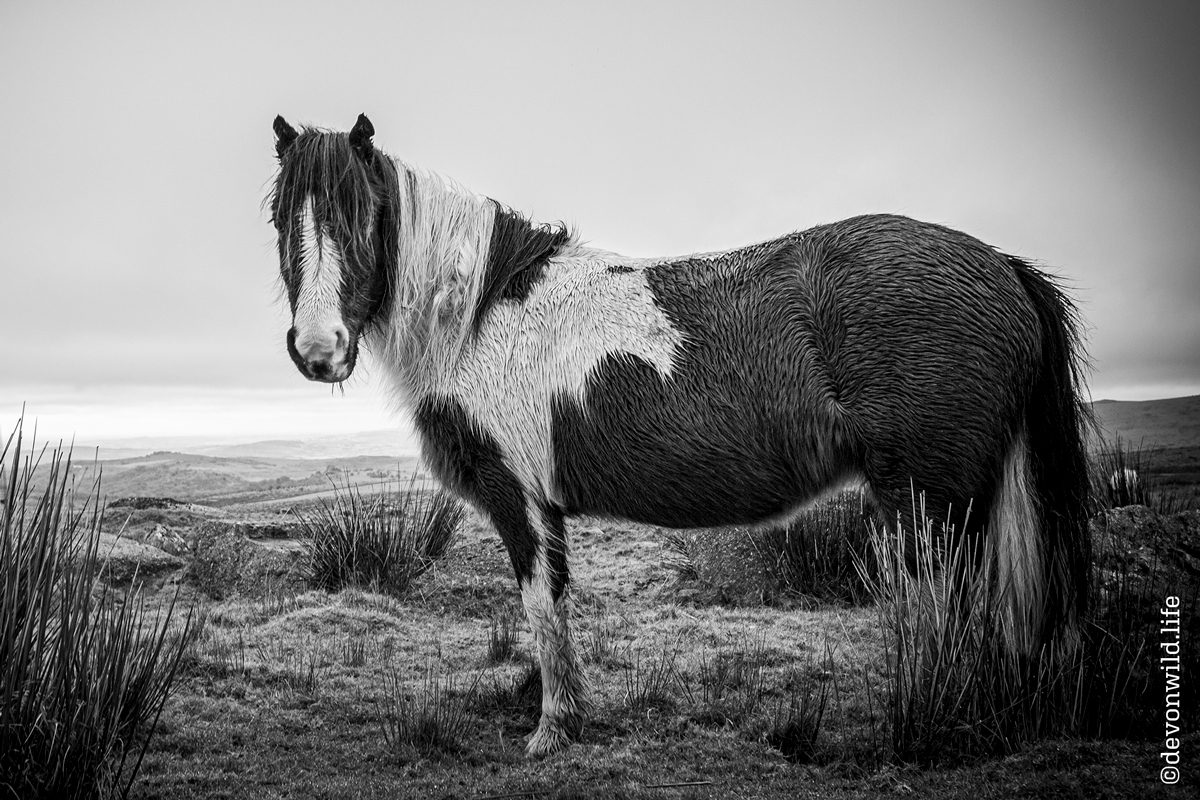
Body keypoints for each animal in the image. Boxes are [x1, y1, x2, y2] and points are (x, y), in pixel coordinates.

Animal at [267, 113, 1094, 756]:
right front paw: (562, 711)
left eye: (359, 213)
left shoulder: (518, 496)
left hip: (932, 502)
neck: (481, 313)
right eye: (281, 219)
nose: (317, 349)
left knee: (947, 612)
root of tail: (1002, 266)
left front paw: (552, 730)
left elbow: (540, 604)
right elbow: (554, 608)